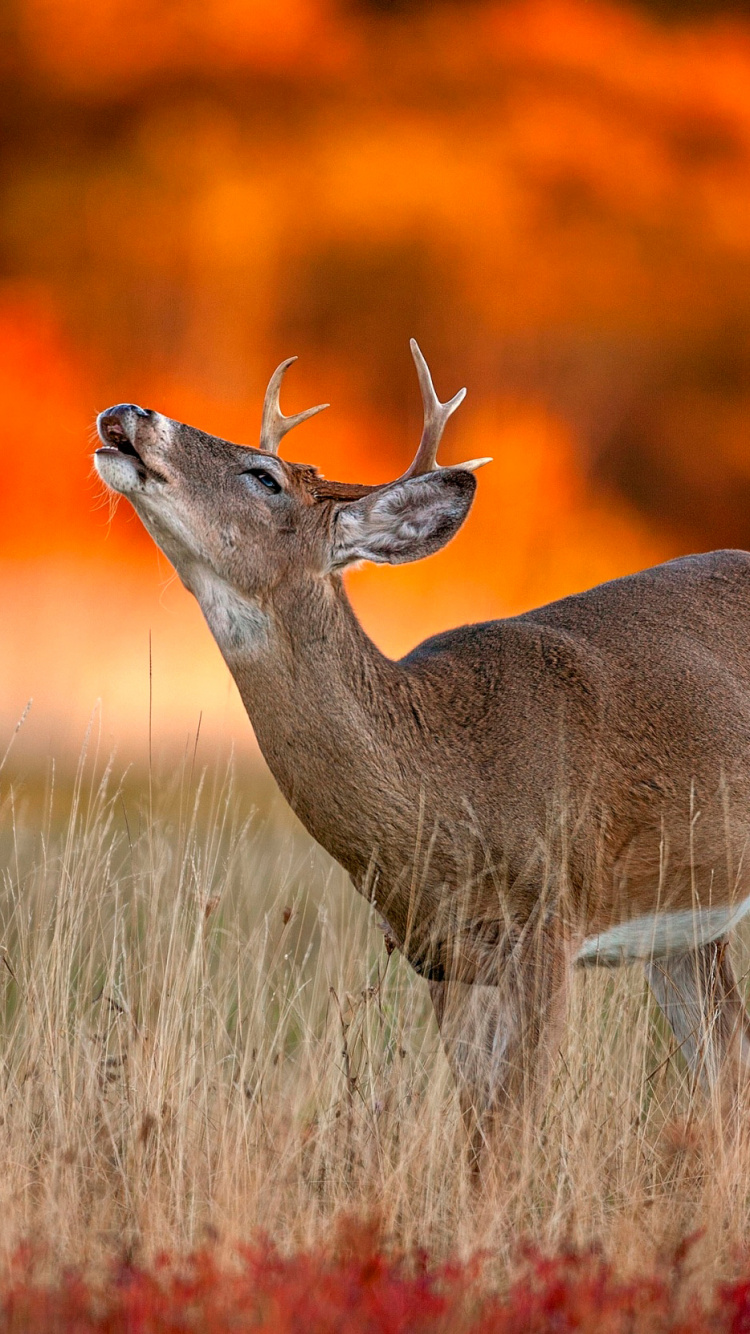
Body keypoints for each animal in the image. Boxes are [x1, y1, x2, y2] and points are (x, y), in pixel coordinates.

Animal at [95, 340, 750, 1145]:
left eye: (265, 476)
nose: (129, 412)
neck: (443, 780)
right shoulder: (440, 958)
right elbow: (479, 1131)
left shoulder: (550, 923)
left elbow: (508, 1135)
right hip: (688, 927)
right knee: (726, 1068)